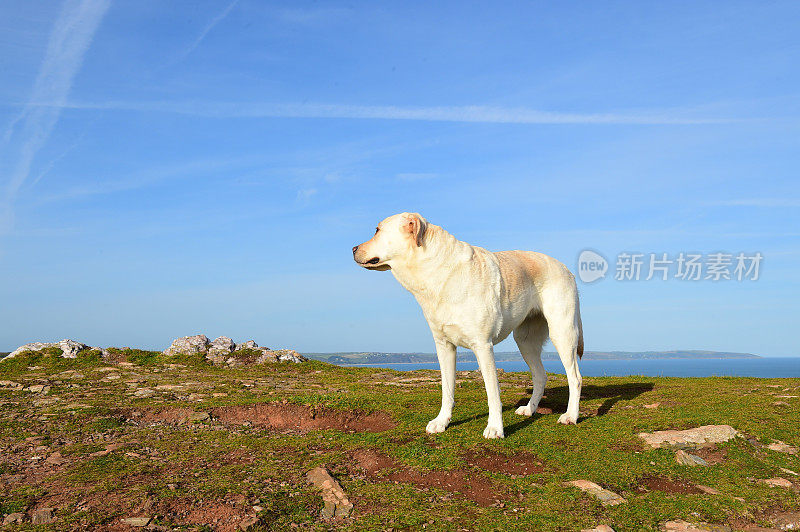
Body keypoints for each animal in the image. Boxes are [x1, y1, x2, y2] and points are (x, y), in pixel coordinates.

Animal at [354, 214, 584, 438]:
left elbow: (493, 393)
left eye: (377, 230)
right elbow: (447, 390)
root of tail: (566, 269)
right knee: (540, 376)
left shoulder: (483, 346)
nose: (353, 249)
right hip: (525, 342)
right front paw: (442, 422)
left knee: (575, 378)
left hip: (562, 334)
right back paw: (530, 409)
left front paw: (495, 428)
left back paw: (570, 416)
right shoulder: (444, 346)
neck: (436, 271)